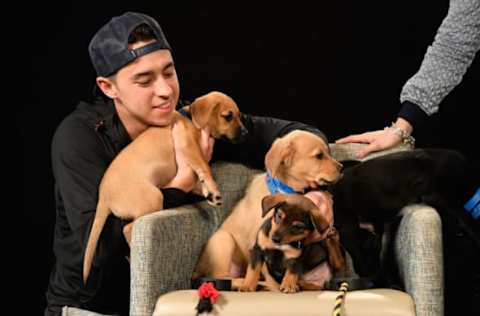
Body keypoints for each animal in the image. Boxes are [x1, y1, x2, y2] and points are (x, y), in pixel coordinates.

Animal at [83, 90, 248, 282]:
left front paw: (208, 193)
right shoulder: (189, 147)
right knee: (128, 228)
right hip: (153, 198)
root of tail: (104, 197)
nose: (246, 133)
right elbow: (205, 167)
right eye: (228, 116)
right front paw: (213, 189)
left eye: (239, 116)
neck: (190, 119)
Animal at [191, 128, 342, 284]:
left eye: (328, 153)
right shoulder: (259, 240)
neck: (286, 190)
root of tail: (196, 271)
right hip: (223, 239)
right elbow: (262, 268)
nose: (342, 168)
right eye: (319, 156)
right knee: (221, 276)